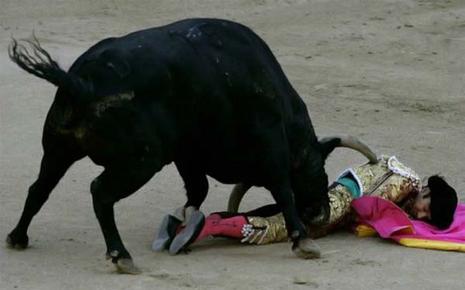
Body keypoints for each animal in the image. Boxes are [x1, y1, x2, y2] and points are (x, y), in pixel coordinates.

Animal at [6, 19, 376, 274]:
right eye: (317, 169)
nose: (321, 214)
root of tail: (79, 81)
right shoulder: (270, 142)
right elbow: (282, 188)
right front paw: (303, 240)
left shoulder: (188, 156)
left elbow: (196, 192)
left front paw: (183, 228)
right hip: (141, 160)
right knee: (100, 192)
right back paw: (121, 256)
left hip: (58, 148)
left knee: (39, 188)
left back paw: (17, 237)